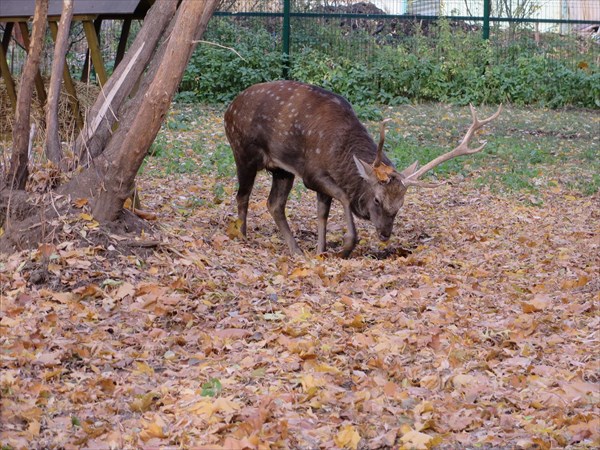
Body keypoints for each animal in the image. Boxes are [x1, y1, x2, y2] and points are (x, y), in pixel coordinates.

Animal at [223, 80, 500, 256]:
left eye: (401, 204)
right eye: (377, 200)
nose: (386, 234)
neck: (338, 154)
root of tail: (229, 108)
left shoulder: (315, 178)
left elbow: (322, 214)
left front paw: (320, 250)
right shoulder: (312, 173)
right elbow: (344, 197)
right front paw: (346, 247)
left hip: (282, 170)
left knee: (274, 204)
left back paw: (296, 250)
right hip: (242, 151)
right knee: (243, 195)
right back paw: (243, 236)